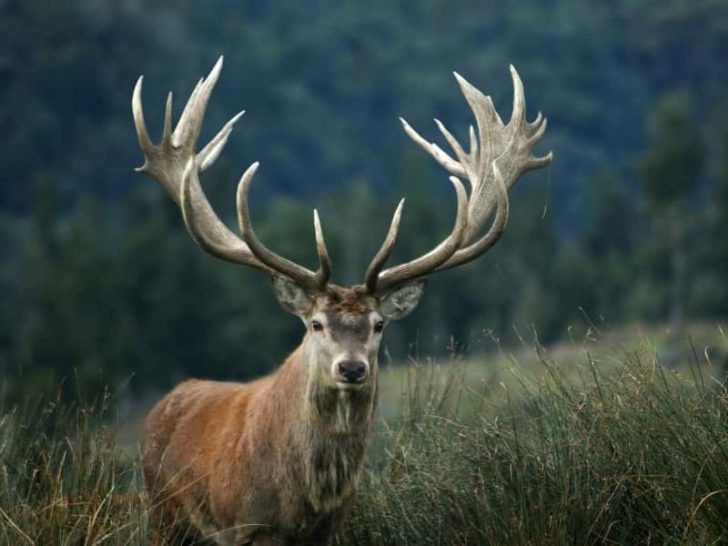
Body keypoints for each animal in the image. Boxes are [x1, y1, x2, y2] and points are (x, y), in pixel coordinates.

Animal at [132, 56, 551, 546]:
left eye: (378, 324)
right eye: (315, 324)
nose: (351, 368)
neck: (301, 503)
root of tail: (164, 405)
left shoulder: (329, 530)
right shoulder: (243, 526)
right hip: (163, 516)